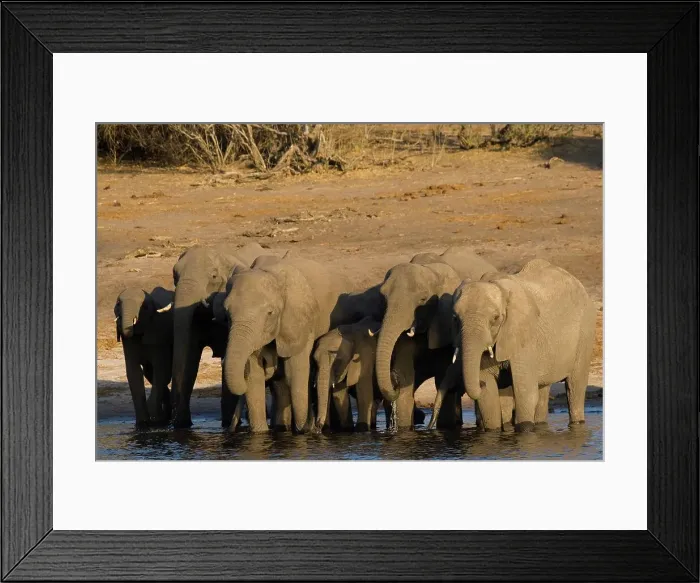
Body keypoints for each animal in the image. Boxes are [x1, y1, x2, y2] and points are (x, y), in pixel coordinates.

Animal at [114, 286, 174, 427]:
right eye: (118, 303)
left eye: (144, 307)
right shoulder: (128, 341)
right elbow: (134, 372)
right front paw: (142, 424)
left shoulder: (158, 334)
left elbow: (160, 369)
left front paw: (155, 420)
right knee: (149, 373)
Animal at [169, 242, 270, 428]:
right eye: (174, 276)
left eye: (214, 276)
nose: (172, 418)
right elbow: (190, 361)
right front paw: (183, 425)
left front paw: (227, 423)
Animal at [222, 256, 353, 433]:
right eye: (227, 314)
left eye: (270, 313)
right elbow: (255, 376)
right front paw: (260, 433)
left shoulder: (300, 322)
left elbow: (295, 372)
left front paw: (304, 431)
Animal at [374, 246, 496, 428]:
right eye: (383, 298)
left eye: (423, 299)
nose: (393, 381)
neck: (430, 270)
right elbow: (405, 377)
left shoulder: (444, 324)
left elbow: (442, 377)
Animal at [448, 258, 596, 432]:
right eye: (455, 318)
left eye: (495, 318)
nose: (480, 383)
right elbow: (489, 398)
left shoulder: (524, 338)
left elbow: (525, 393)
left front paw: (525, 430)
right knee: (543, 388)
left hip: (585, 332)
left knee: (574, 387)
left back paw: (577, 423)